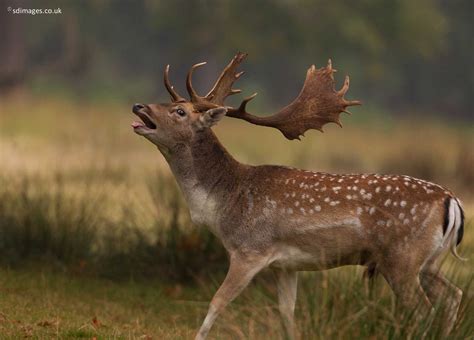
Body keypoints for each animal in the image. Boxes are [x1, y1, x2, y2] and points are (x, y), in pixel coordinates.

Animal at [131, 53, 464, 340]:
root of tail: (452, 201)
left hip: (401, 259)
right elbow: (286, 313)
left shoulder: (250, 250)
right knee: (453, 296)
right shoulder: (285, 265)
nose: (138, 107)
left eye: (179, 111)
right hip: (428, 261)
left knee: (424, 309)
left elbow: (217, 302)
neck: (224, 203)